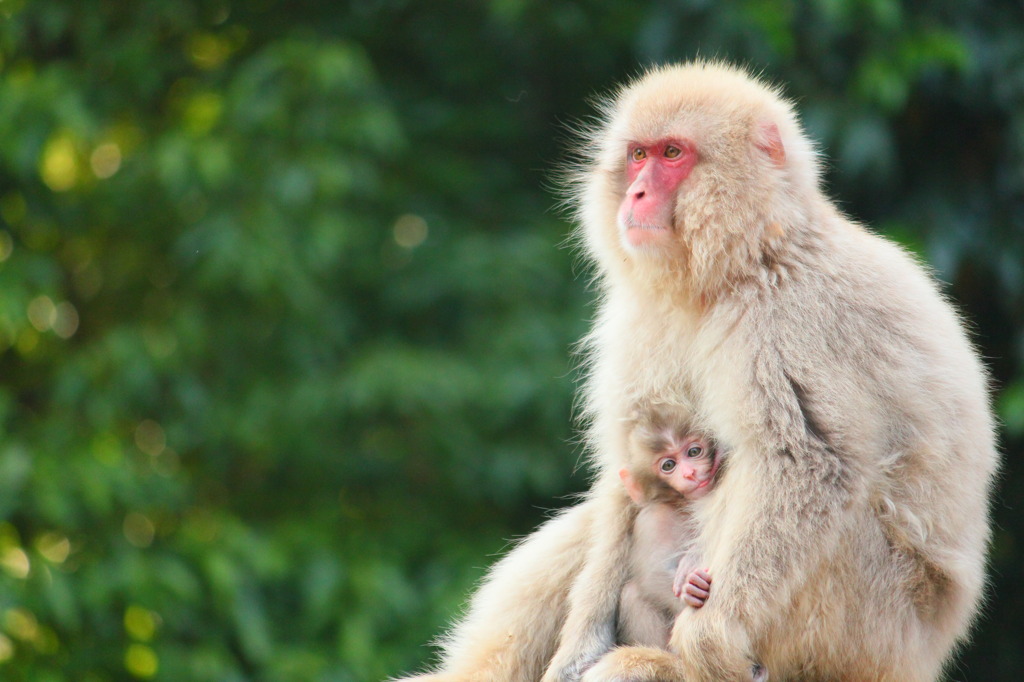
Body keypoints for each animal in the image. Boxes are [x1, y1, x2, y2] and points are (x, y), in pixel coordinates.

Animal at [395, 61, 995, 675]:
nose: (636, 193)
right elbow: (627, 477)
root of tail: (924, 651)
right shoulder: (643, 316)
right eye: (638, 155)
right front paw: (578, 648)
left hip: (867, 625)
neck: (744, 263)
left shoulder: (792, 312)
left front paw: (708, 635)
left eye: (673, 153)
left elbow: (807, 463)